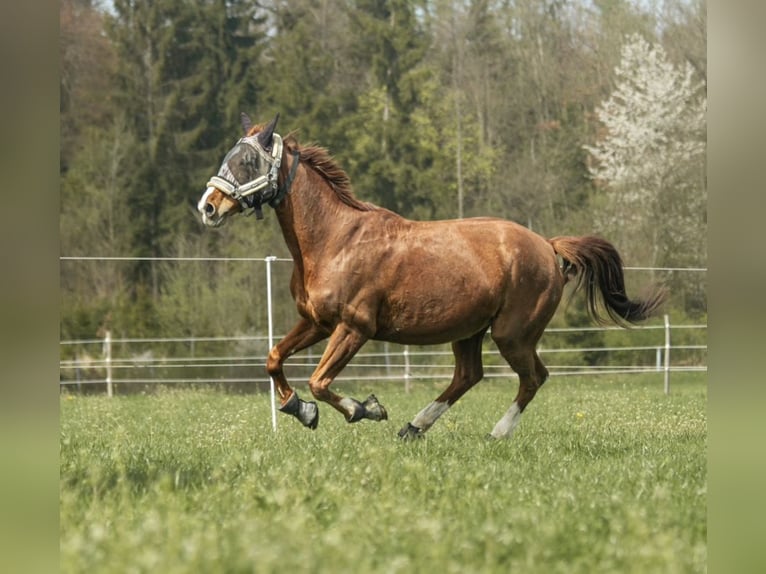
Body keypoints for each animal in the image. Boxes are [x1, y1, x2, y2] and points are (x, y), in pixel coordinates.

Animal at [198, 115, 664, 444]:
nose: (208, 206)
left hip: (512, 334)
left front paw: (365, 408)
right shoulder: (317, 322)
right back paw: (414, 427)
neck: (336, 239)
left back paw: (495, 433)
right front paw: (301, 410)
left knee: (533, 378)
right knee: (469, 376)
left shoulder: (354, 328)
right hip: (470, 331)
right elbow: (274, 359)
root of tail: (548, 246)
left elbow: (320, 381)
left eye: (247, 161)